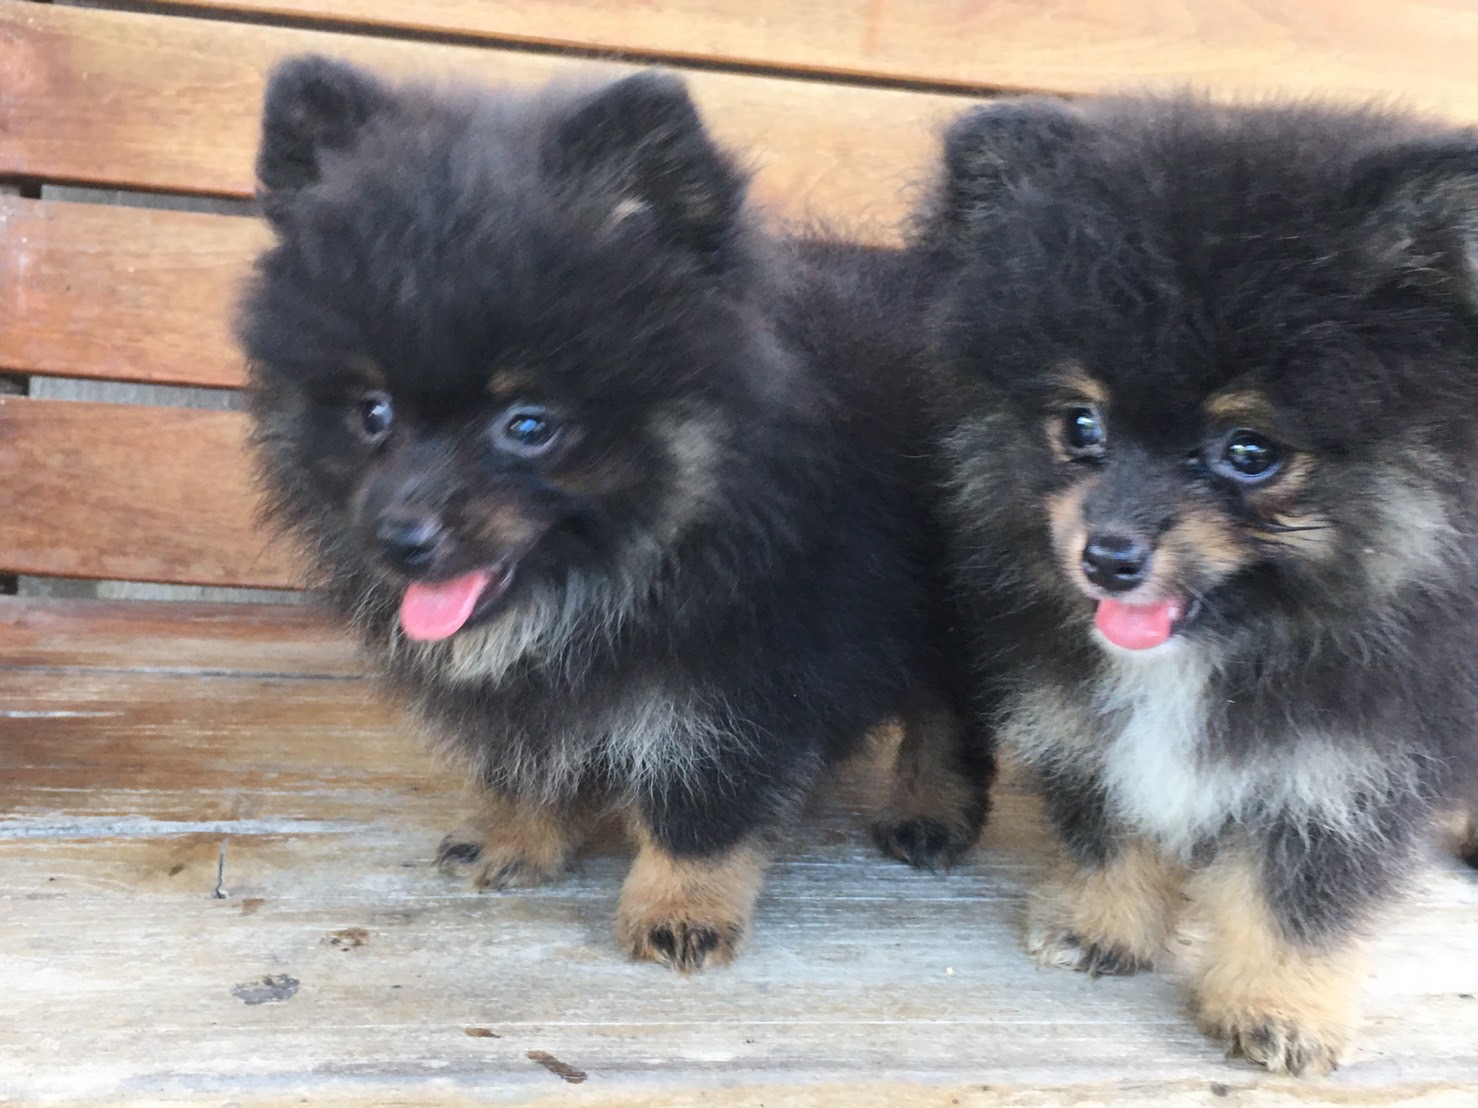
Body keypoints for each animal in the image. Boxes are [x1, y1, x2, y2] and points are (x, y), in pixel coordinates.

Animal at [237, 57, 991, 971]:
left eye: (529, 425)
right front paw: (520, 833)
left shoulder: (749, 666)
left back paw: (930, 808)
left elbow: (705, 794)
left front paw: (680, 903)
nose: (400, 538)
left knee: (949, 710)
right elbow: (529, 750)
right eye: (372, 413)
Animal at [917, 93, 1478, 1072]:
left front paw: (1279, 1006)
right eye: (1080, 424)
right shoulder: (1086, 725)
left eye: (1250, 450)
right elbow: (1113, 824)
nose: (1108, 555)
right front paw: (1102, 926)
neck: (1218, 651)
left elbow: (1302, 892)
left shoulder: (1351, 761)